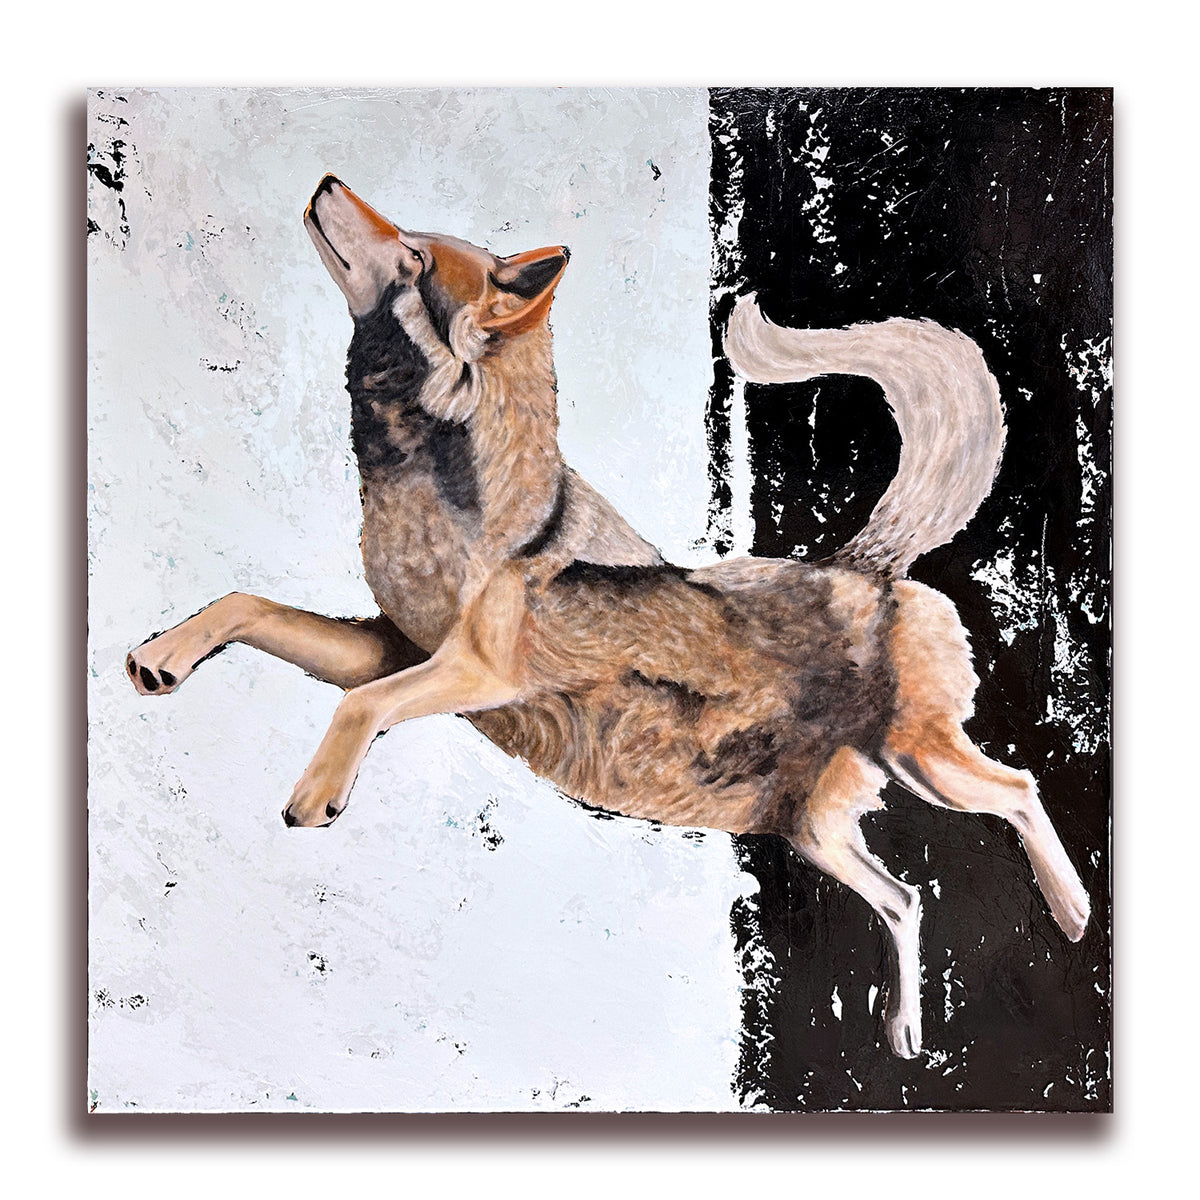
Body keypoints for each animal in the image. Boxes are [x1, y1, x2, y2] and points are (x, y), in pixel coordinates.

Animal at [126, 175, 1090, 1057]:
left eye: (413, 254)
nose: (326, 181)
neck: (447, 504)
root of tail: (864, 566)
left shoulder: (473, 673)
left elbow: (357, 709)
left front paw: (315, 794)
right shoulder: (385, 650)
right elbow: (245, 604)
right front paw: (162, 657)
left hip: (923, 765)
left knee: (1018, 789)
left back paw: (1074, 913)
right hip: (816, 833)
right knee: (906, 898)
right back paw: (903, 1031)